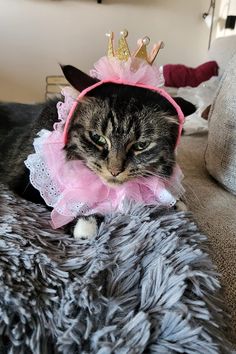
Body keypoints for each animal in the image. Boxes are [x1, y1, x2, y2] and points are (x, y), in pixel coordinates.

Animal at [0, 65, 195, 239]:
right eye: (97, 138)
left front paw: (175, 202)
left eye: (141, 145)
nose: (115, 171)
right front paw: (85, 223)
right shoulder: (27, 179)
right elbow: (61, 201)